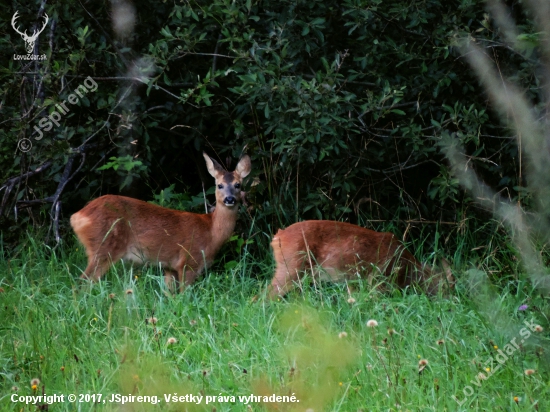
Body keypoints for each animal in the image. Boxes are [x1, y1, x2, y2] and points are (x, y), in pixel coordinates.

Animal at [70, 151, 252, 290]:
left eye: (238, 185)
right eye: (219, 185)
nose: (229, 199)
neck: (211, 233)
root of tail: (78, 216)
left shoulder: (170, 268)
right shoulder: (189, 261)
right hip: (103, 246)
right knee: (82, 283)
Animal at [270, 220, 454, 298]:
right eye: (445, 288)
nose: (451, 304)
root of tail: (278, 236)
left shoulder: (354, 282)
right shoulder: (378, 280)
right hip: (291, 269)